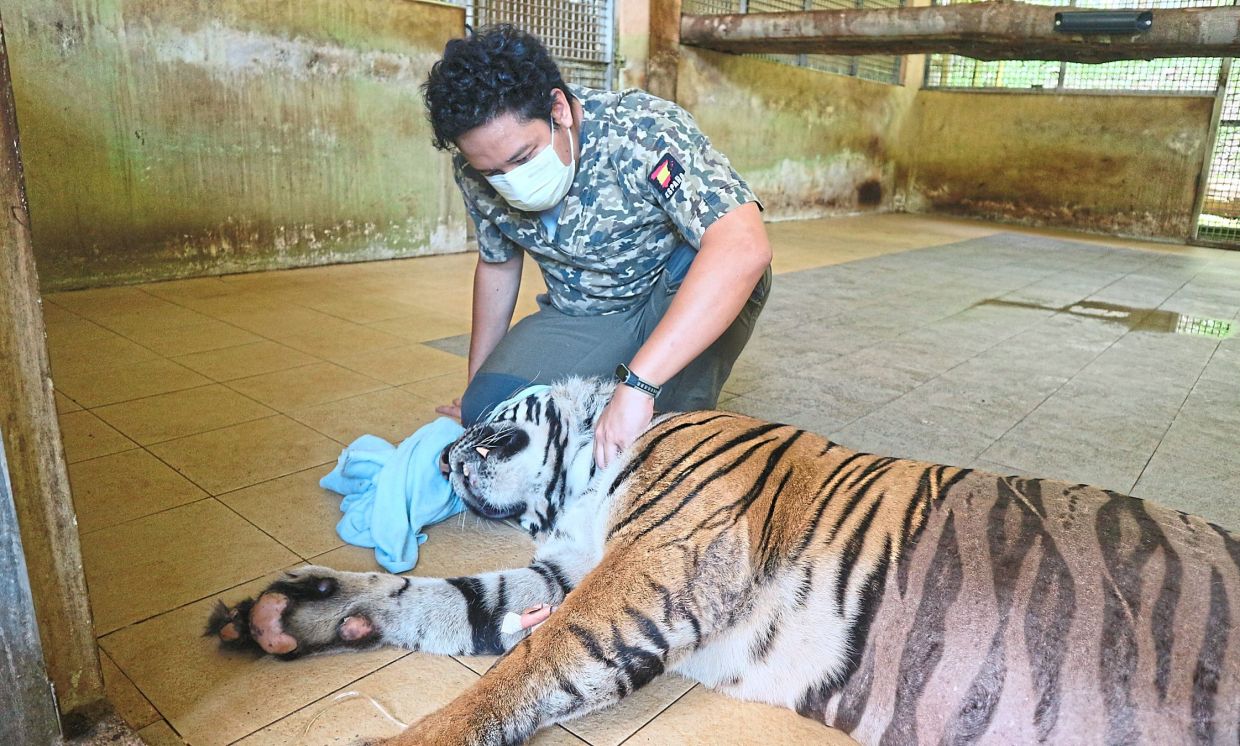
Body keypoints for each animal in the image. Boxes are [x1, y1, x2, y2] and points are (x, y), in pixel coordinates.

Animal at [209, 376, 1240, 745]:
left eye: (494, 424)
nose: (447, 453)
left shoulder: (637, 575)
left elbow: (518, 670)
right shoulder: (558, 577)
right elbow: (441, 598)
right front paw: (301, 610)